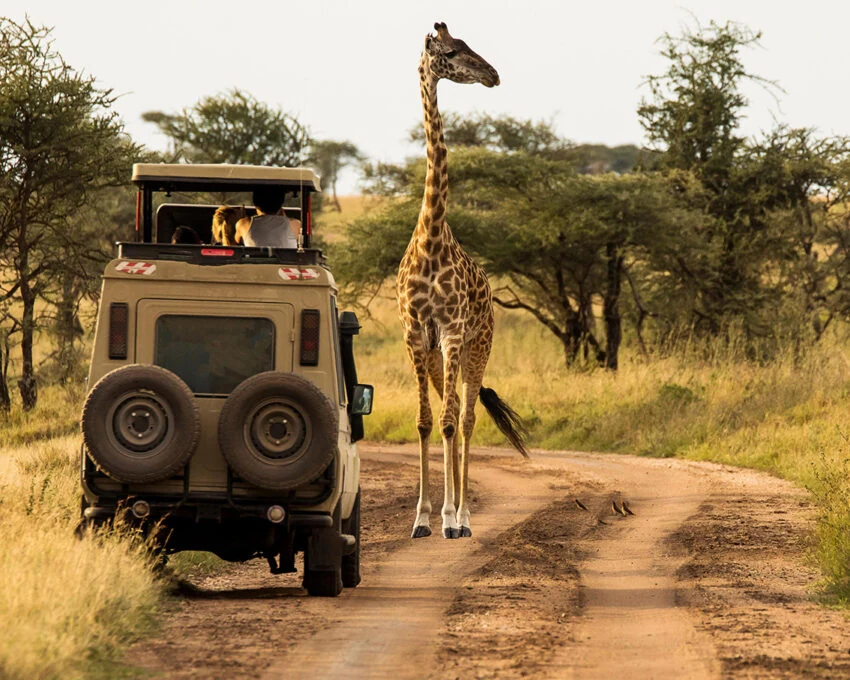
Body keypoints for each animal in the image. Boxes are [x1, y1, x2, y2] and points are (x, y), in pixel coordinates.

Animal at [397, 22, 528, 541]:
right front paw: (421, 519)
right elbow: (425, 421)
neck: (431, 237)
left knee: (468, 418)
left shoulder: (453, 333)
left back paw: (465, 517)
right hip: (439, 356)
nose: (493, 74)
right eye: (451, 52)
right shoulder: (417, 336)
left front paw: (451, 518)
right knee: (448, 411)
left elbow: (452, 421)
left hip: (478, 347)